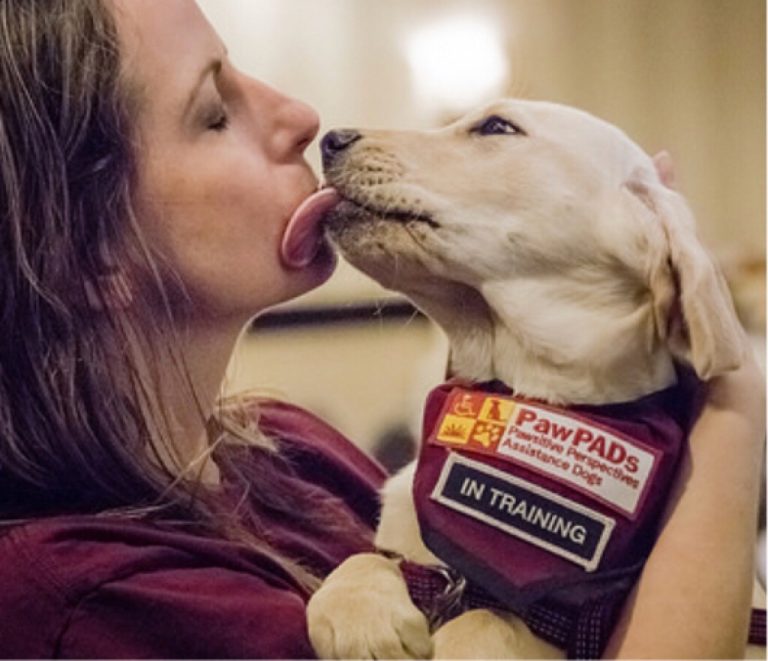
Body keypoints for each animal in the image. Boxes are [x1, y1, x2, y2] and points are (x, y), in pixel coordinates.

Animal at [304, 100, 752, 656]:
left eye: (496, 126)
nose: (330, 138)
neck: (517, 397)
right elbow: (368, 558)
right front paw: (360, 610)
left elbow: (491, 621)